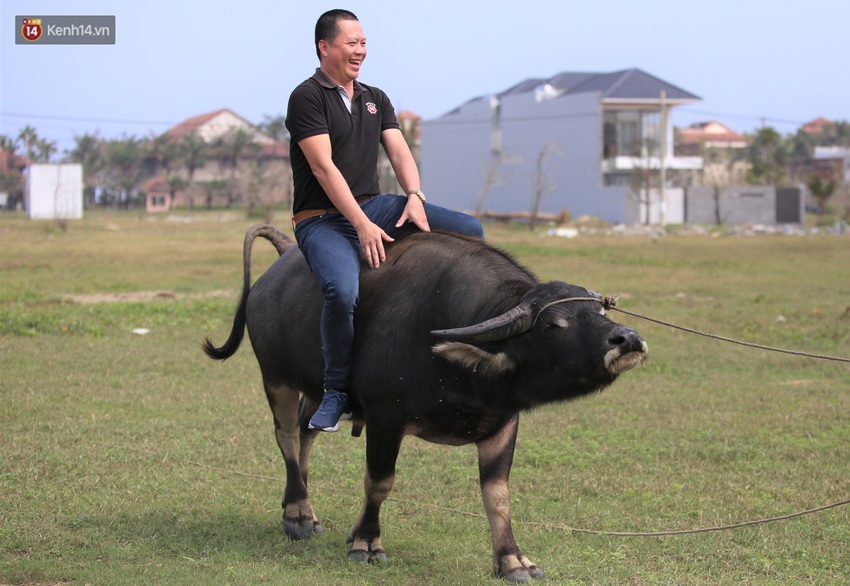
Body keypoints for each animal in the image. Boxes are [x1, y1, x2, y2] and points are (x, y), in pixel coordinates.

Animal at [202, 225, 644, 580]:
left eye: (599, 310)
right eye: (554, 324)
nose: (628, 339)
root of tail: (275, 267)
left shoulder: (504, 422)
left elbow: (498, 495)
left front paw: (513, 560)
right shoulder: (385, 416)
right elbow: (379, 482)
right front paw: (366, 543)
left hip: (319, 391)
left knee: (307, 431)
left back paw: (304, 508)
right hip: (275, 377)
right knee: (287, 437)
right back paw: (296, 515)